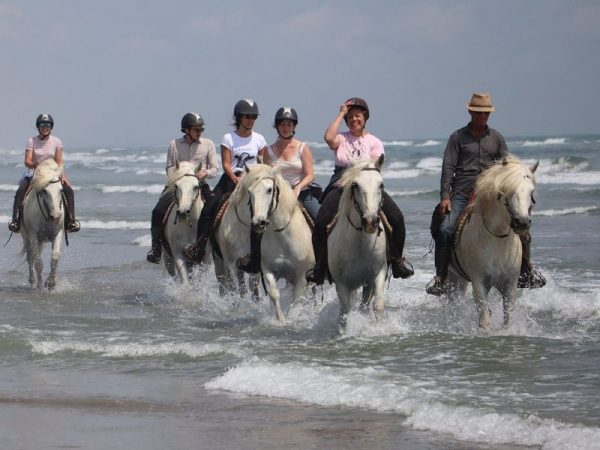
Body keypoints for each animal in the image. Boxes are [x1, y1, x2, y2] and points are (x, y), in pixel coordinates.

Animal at [20, 160, 65, 290]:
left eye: (61, 190)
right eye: (44, 191)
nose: (56, 216)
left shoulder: (58, 233)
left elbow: (55, 257)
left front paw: (51, 283)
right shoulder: (33, 236)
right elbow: (38, 263)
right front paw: (40, 287)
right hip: (27, 237)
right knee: (30, 257)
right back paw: (32, 282)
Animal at [212, 164, 314, 320]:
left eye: (269, 189)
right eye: (250, 192)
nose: (258, 222)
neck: (282, 237)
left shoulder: (302, 277)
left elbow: (295, 301)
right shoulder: (266, 269)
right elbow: (273, 293)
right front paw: (280, 319)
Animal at [326, 156, 386, 326]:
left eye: (381, 185)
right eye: (355, 185)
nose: (370, 222)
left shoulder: (378, 274)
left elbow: (378, 305)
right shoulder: (341, 284)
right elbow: (345, 312)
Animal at [450, 156, 540, 328]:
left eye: (532, 192)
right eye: (506, 190)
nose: (522, 223)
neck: (497, 239)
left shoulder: (509, 285)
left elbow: (508, 319)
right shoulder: (478, 283)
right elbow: (484, 320)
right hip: (454, 277)